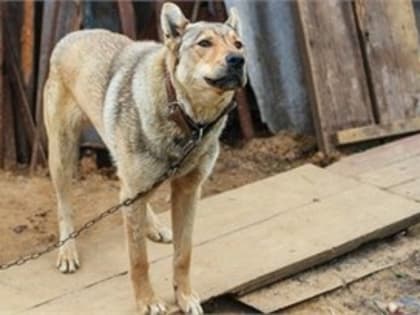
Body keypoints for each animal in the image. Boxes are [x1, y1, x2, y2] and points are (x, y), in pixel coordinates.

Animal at [43, 3, 246, 315]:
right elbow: (139, 260)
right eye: (204, 43)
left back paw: (155, 227)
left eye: (238, 44)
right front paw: (148, 302)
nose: (239, 60)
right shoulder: (137, 194)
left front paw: (184, 296)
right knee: (65, 205)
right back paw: (67, 251)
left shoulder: (188, 191)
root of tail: (73, 35)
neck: (187, 120)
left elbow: (184, 254)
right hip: (63, 155)